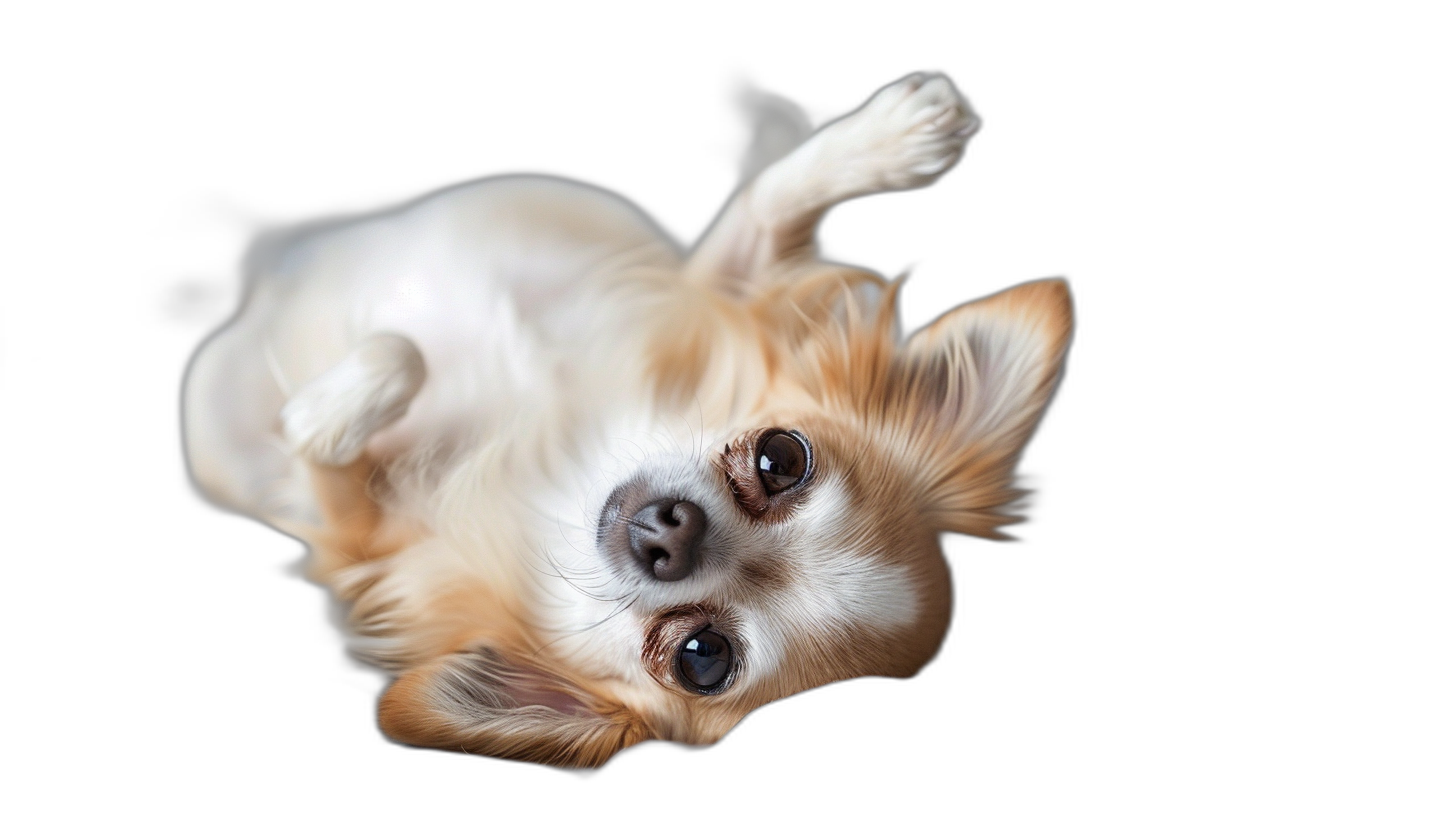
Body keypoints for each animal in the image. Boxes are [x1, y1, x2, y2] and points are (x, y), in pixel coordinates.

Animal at [179, 73, 1071, 769]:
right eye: (783, 458)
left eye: (703, 657)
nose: (671, 533)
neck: (561, 456)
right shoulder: (704, 285)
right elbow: (765, 208)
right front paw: (901, 133)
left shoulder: (349, 535)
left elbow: (352, 411)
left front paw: (317, 409)